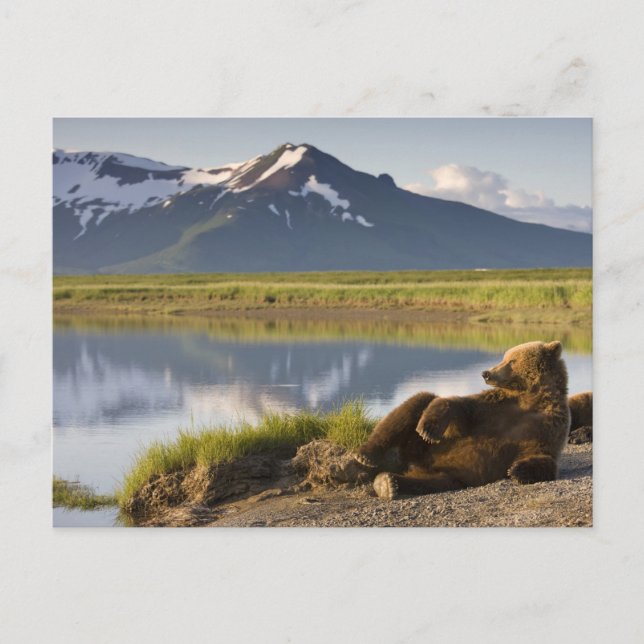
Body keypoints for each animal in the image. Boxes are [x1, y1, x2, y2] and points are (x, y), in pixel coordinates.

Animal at [353, 340, 571, 500]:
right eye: (504, 357)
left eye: (511, 360)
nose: (486, 373)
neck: (529, 398)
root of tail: (415, 463)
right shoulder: (494, 407)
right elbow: (460, 407)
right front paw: (428, 429)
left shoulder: (547, 425)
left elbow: (543, 455)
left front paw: (518, 470)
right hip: (419, 446)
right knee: (417, 401)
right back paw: (366, 456)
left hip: (449, 474)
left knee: (430, 482)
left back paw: (388, 483)